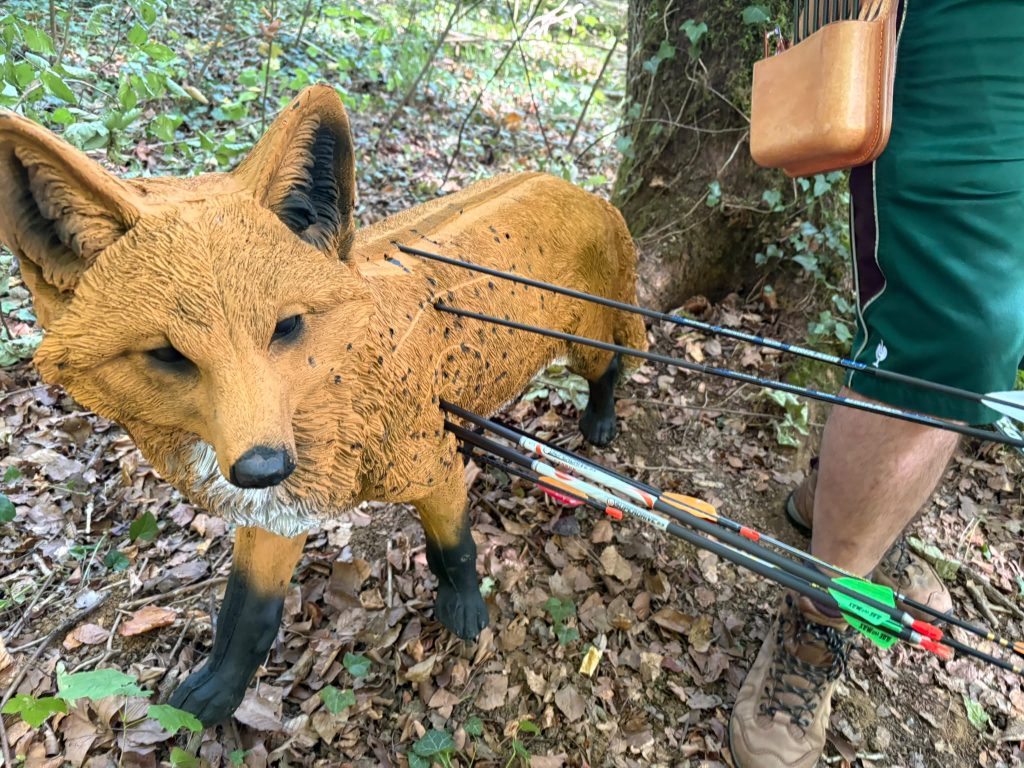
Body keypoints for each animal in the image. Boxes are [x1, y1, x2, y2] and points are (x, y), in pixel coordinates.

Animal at [0, 84, 647, 726]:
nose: (261, 468)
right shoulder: (278, 513)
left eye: (286, 327)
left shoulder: (434, 469)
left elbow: (456, 551)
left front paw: (465, 611)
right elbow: (246, 617)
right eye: (167, 355)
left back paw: (601, 422)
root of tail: (576, 189)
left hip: (582, 345)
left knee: (612, 367)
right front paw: (215, 694)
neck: (350, 387)